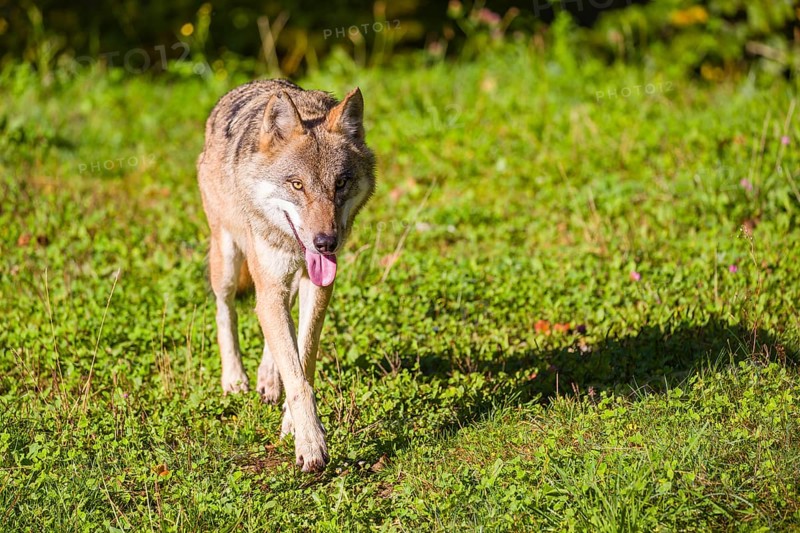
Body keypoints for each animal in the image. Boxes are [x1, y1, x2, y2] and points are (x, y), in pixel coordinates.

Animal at [197, 79, 375, 471]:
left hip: (286, 281)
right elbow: (295, 373)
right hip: (228, 261)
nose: (326, 243)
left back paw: (267, 378)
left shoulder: (317, 285)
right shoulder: (270, 285)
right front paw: (310, 446)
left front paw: (294, 425)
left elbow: (302, 360)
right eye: (296, 185)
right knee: (225, 310)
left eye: (341, 183)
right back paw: (235, 379)